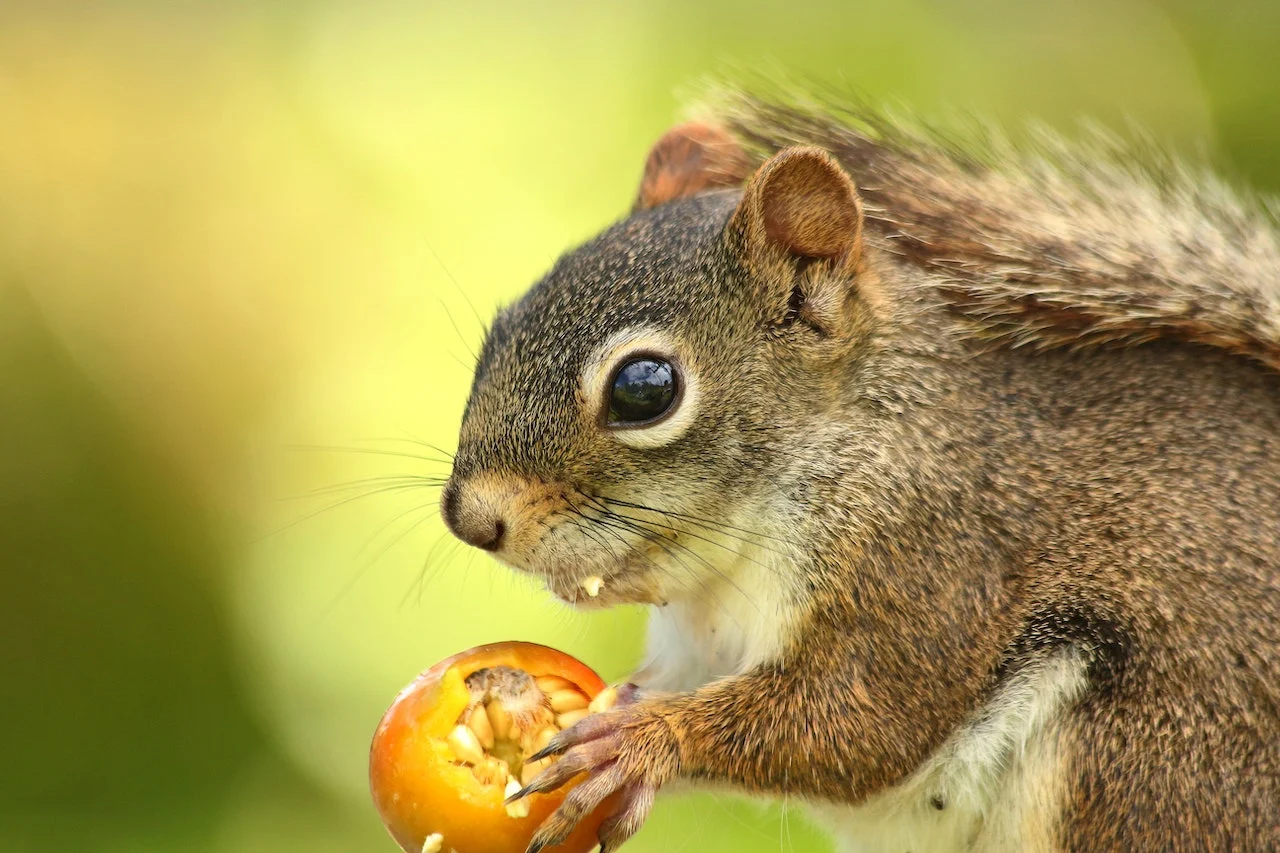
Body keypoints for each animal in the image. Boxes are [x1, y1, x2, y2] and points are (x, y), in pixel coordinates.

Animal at [435, 92, 1274, 850]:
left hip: (1142, 763)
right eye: (500, 330)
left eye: (645, 388)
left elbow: (858, 720)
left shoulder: (924, 551)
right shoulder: (695, 645)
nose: (472, 519)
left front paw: (643, 742)